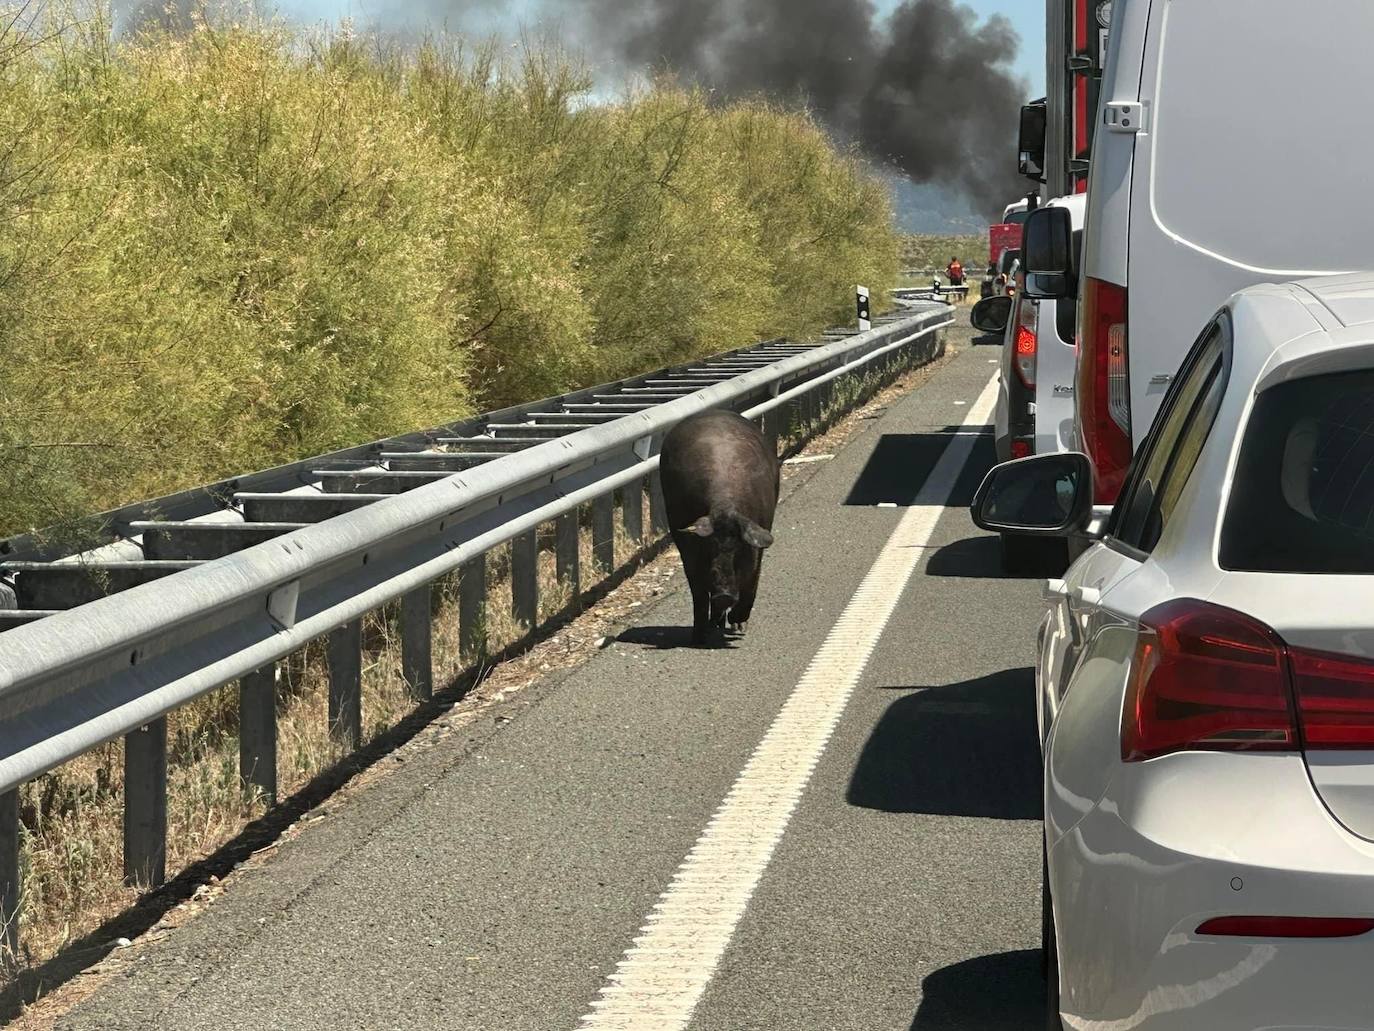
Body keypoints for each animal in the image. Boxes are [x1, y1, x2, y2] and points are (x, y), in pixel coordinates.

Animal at [659, 409, 780, 646]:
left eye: (739, 551)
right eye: (708, 550)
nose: (724, 594)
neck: (724, 507)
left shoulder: (759, 538)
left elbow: (753, 579)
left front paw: (738, 626)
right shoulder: (688, 551)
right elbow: (698, 592)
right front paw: (699, 637)